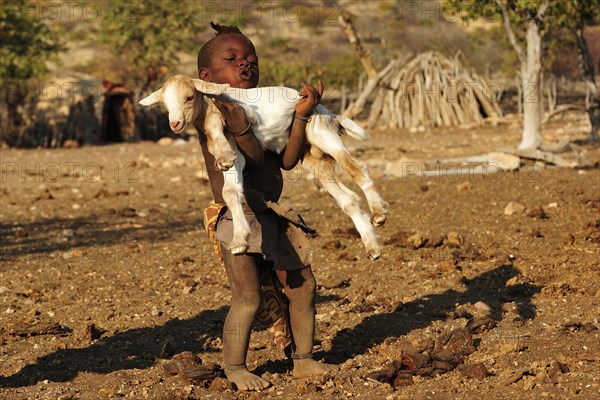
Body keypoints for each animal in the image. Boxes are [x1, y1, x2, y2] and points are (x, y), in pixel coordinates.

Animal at [138, 75, 386, 260]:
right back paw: (372, 246)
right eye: (165, 105)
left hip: (321, 132)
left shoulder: (240, 116)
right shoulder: (239, 152)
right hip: (315, 158)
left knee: (357, 168)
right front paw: (239, 240)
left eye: (189, 97)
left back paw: (379, 213)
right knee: (348, 199)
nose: (175, 124)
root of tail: (330, 113)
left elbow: (222, 124)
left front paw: (222, 155)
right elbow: (230, 190)